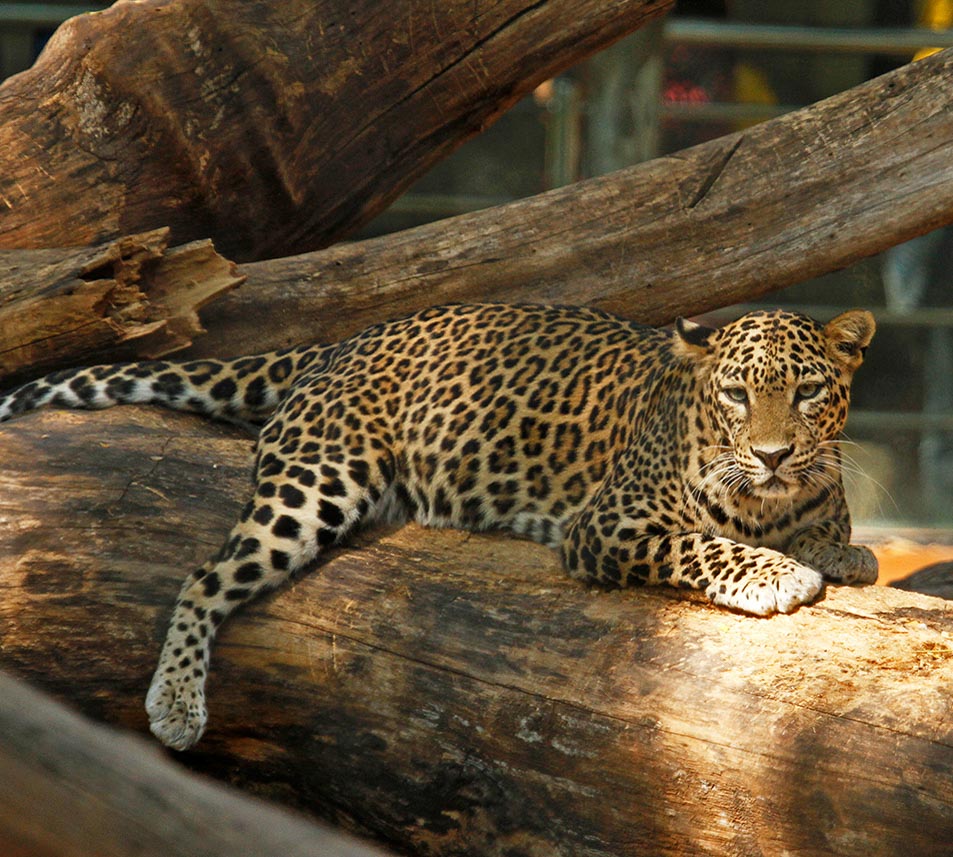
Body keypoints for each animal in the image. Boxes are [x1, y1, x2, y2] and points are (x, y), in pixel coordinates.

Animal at [0, 300, 876, 748]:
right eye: (735, 394)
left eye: (806, 392)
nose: (769, 453)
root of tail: (342, 341)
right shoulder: (608, 522)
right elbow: (703, 542)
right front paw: (778, 573)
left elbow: (830, 530)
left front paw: (840, 550)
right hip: (316, 485)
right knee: (204, 575)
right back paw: (176, 703)